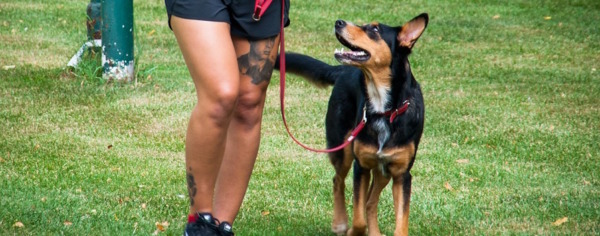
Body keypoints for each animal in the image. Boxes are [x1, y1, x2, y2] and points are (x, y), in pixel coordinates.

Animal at [278, 13, 428, 235]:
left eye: (374, 30)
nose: (339, 22)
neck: (384, 109)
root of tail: (343, 71)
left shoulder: (402, 174)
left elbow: (399, 223)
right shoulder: (361, 166)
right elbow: (358, 219)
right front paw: (351, 230)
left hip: (383, 171)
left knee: (371, 201)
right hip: (342, 149)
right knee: (338, 181)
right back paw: (340, 222)